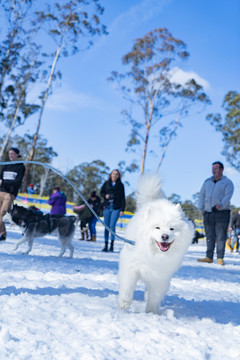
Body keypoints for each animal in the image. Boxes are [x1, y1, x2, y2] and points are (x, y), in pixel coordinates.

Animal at [118, 173, 193, 314]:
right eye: (157, 227)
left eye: (171, 229)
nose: (165, 236)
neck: (155, 255)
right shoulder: (131, 267)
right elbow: (127, 288)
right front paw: (123, 305)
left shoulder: (160, 276)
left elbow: (154, 297)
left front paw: (151, 313)